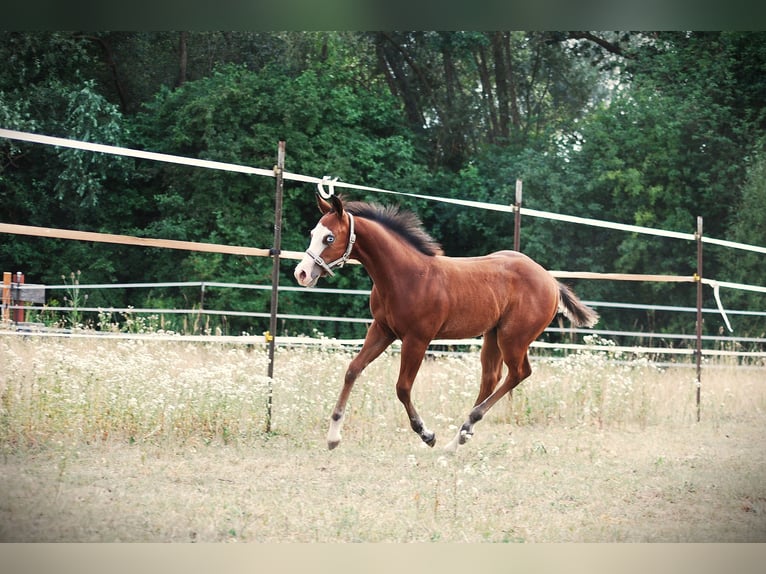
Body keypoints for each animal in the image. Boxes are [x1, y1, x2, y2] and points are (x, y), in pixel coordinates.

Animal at [294, 194, 598, 451]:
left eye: (329, 238)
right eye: (312, 234)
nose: (302, 273)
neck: (405, 275)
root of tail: (550, 280)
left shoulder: (417, 339)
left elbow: (402, 387)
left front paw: (426, 434)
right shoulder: (382, 330)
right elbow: (353, 370)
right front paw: (333, 437)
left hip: (514, 338)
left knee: (519, 373)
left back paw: (466, 425)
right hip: (493, 335)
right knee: (491, 378)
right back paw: (458, 439)